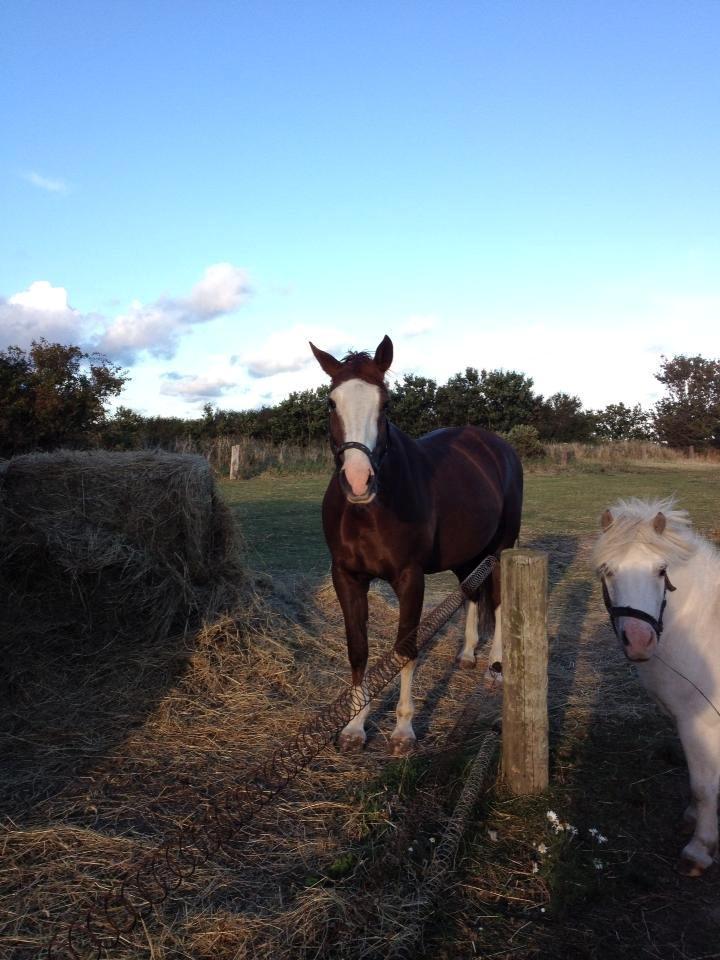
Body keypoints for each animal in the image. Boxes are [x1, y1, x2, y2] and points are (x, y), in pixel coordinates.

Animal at [310, 338, 524, 756]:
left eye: (387, 403)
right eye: (331, 402)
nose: (358, 481)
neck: (369, 510)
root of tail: (497, 446)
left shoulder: (411, 578)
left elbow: (404, 649)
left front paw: (403, 730)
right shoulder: (346, 576)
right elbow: (358, 649)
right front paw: (355, 726)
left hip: (502, 548)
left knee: (498, 599)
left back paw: (495, 668)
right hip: (466, 553)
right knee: (471, 592)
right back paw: (467, 654)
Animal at [592, 498, 720, 872]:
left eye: (661, 570)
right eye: (607, 570)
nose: (639, 641)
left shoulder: (702, 722)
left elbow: (704, 784)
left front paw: (700, 849)